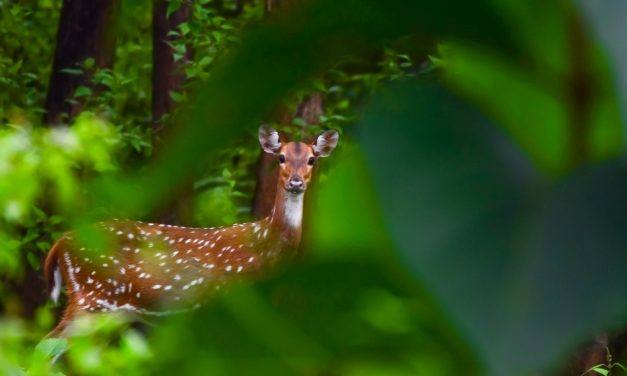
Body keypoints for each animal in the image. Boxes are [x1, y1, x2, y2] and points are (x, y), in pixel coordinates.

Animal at [43, 125, 338, 338]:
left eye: (312, 159)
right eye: (281, 157)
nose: (296, 182)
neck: (263, 247)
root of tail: (61, 242)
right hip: (92, 297)